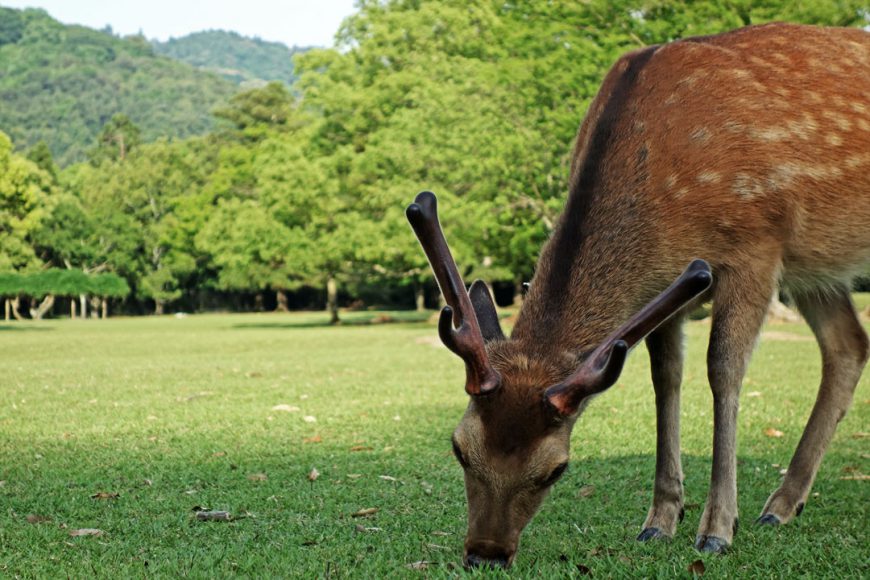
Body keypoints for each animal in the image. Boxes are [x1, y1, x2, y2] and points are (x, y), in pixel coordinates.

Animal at [408, 22, 870, 568]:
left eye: (557, 468)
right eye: (458, 447)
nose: (485, 554)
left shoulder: (757, 246)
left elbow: (723, 370)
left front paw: (717, 529)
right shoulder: (667, 284)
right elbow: (664, 379)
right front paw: (660, 520)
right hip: (816, 268)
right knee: (849, 345)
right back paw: (782, 505)